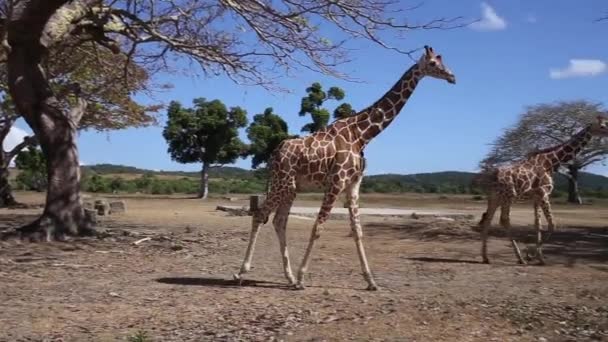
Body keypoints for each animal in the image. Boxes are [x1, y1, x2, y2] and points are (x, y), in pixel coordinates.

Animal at [233, 46, 456, 292]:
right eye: (434, 63)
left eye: (442, 61)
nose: (452, 77)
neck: (363, 135)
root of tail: (274, 154)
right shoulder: (336, 181)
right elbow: (318, 228)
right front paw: (302, 278)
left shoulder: (353, 185)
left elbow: (357, 230)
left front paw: (371, 281)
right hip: (282, 183)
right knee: (260, 215)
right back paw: (243, 273)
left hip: (291, 188)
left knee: (278, 222)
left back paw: (288, 277)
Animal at [478, 116, 608, 266]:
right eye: (602, 126)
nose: (607, 133)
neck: (551, 162)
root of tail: (492, 177)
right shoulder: (544, 193)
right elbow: (552, 225)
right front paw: (531, 256)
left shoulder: (536, 197)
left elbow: (538, 225)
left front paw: (539, 257)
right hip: (508, 196)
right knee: (504, 219)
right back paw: (520, 258)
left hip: (494, 197)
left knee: (488, 219)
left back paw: (486, 257)